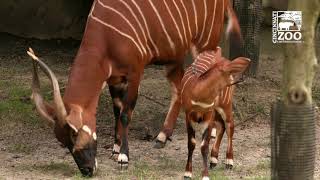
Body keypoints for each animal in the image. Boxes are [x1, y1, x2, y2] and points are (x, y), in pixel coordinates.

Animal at [181, 47, 249, 179]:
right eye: (230, 70)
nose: (240, 78)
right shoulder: (188, 116)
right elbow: (191, 144)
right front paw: (187, 173)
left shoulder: (208, 116)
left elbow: (204, 146)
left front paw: (205, 176)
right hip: (217, 110)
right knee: (222, 125)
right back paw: (213, 160)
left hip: (225, 104)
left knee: (229, 125)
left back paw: (229, 162)